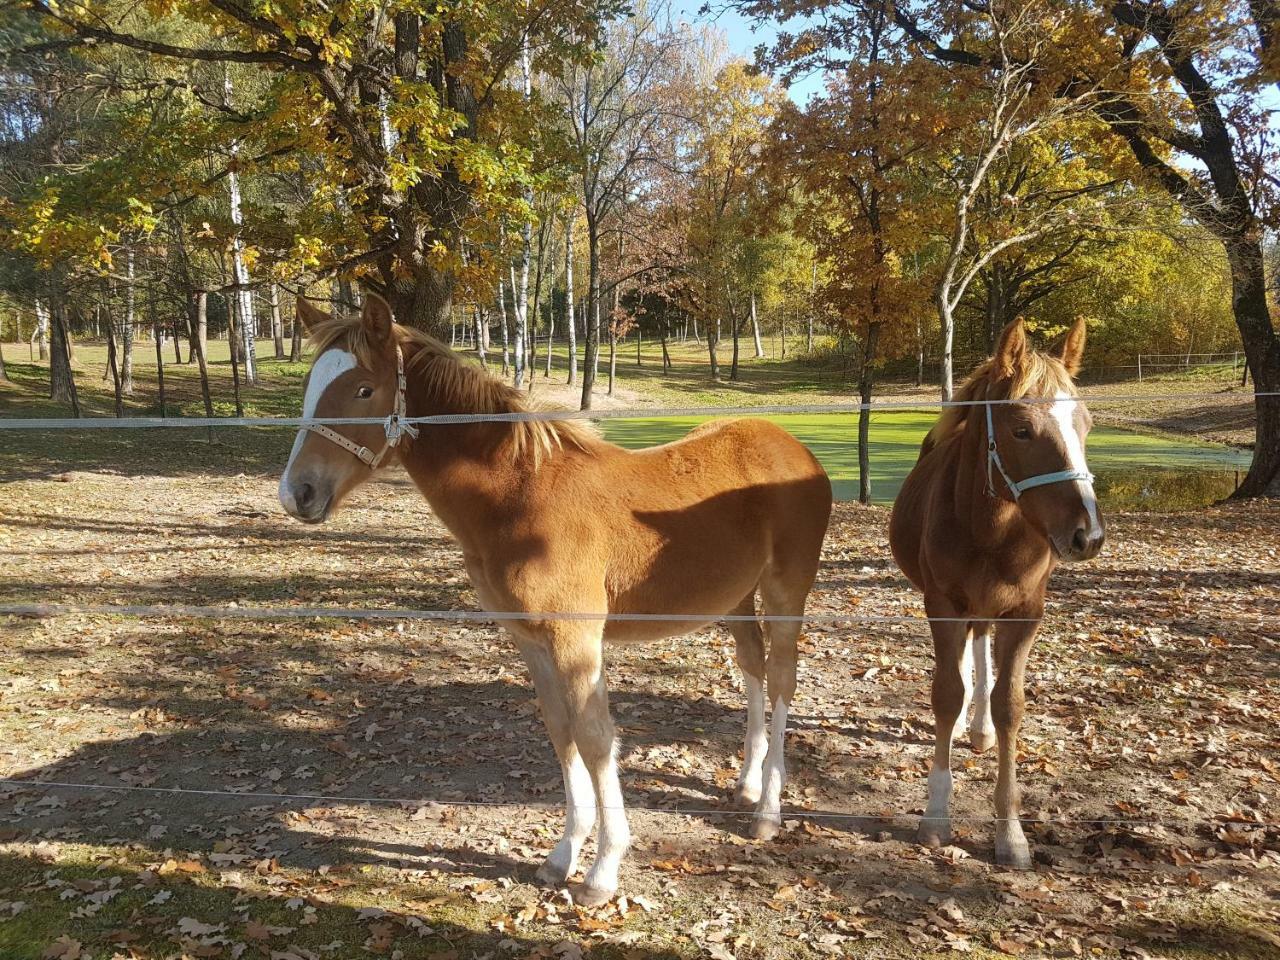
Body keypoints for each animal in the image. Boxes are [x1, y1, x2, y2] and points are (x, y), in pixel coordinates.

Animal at [276, 296, 834, 906]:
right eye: (310, 384)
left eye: (363, 389)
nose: (297, 493)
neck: (520, 499)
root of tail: (797, 449)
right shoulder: (530, 640)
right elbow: (560, 731)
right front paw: (563, 856)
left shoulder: (577, 638)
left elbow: (595, 739)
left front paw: (603, 870)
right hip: (734, 599)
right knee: (752, 666)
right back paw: (747, 785)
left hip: (786, 591)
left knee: (782, 678)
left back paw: (769, 811)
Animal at [890, 320, 1111, 870]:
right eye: (1021, 430)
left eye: (1087, 424)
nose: (1088, 535)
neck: (989, 528)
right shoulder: (942, 607)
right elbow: (947, 693)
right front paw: (936, 817)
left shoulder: (1026, 613)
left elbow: (1010, 704)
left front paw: (1010, 832)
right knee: (967, 654)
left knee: (982, 644)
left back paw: (981, 729)